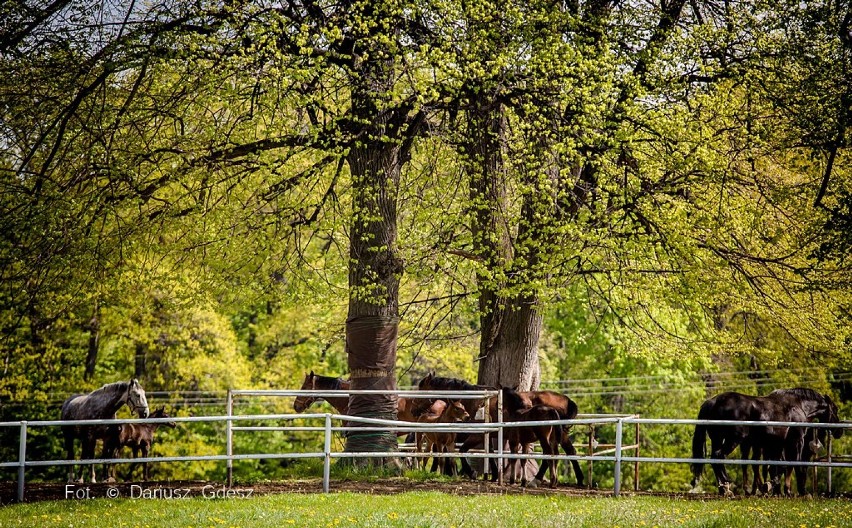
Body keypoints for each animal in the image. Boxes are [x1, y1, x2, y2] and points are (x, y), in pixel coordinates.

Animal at [688, 388, 844, 496]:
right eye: (835, 409)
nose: (839, 431)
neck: (798, 406)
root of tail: (713, 402)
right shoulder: (796, 441)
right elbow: (794, 464)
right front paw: (799, 491)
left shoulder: (778, 444)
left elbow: (779, 466)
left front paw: (772, 486)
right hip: (733, 439)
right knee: (719, 456)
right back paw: (727, 484)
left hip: (718, 439)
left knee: (715, 458)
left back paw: (724, 488)